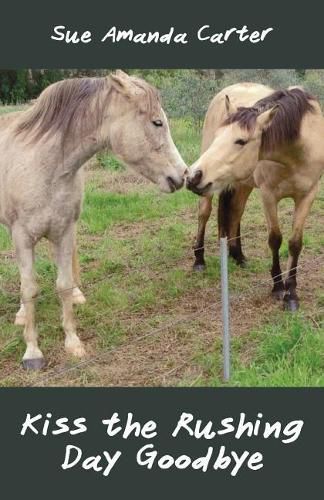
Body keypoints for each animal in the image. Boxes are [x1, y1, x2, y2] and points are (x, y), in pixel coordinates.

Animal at [0, 69, 187, 368]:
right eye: (157, 122)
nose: (182, 175)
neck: (44, 166)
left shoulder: (64, 231)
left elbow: (63, 285)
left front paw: (73, 342)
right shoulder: (23, 237)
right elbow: (29, 289)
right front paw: (32, 352)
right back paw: (20, 314)